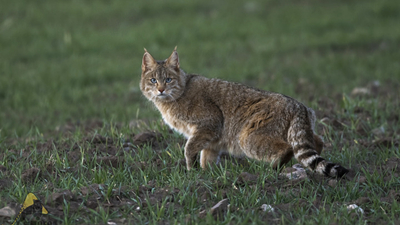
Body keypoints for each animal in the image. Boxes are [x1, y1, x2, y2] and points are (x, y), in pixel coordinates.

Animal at [139, 47, 348, 178]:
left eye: (168, 79)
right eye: (153, 80)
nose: (160, 90)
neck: (178, 94)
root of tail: (299, 105)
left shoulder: (210, 124)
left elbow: (189, 148)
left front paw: (192, 172)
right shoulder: (212, 139)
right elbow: (207, 157)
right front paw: (207, 175)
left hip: (247, 137)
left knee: (287, 148)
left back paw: (274, 169)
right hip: (300, 131)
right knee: (317, 142)